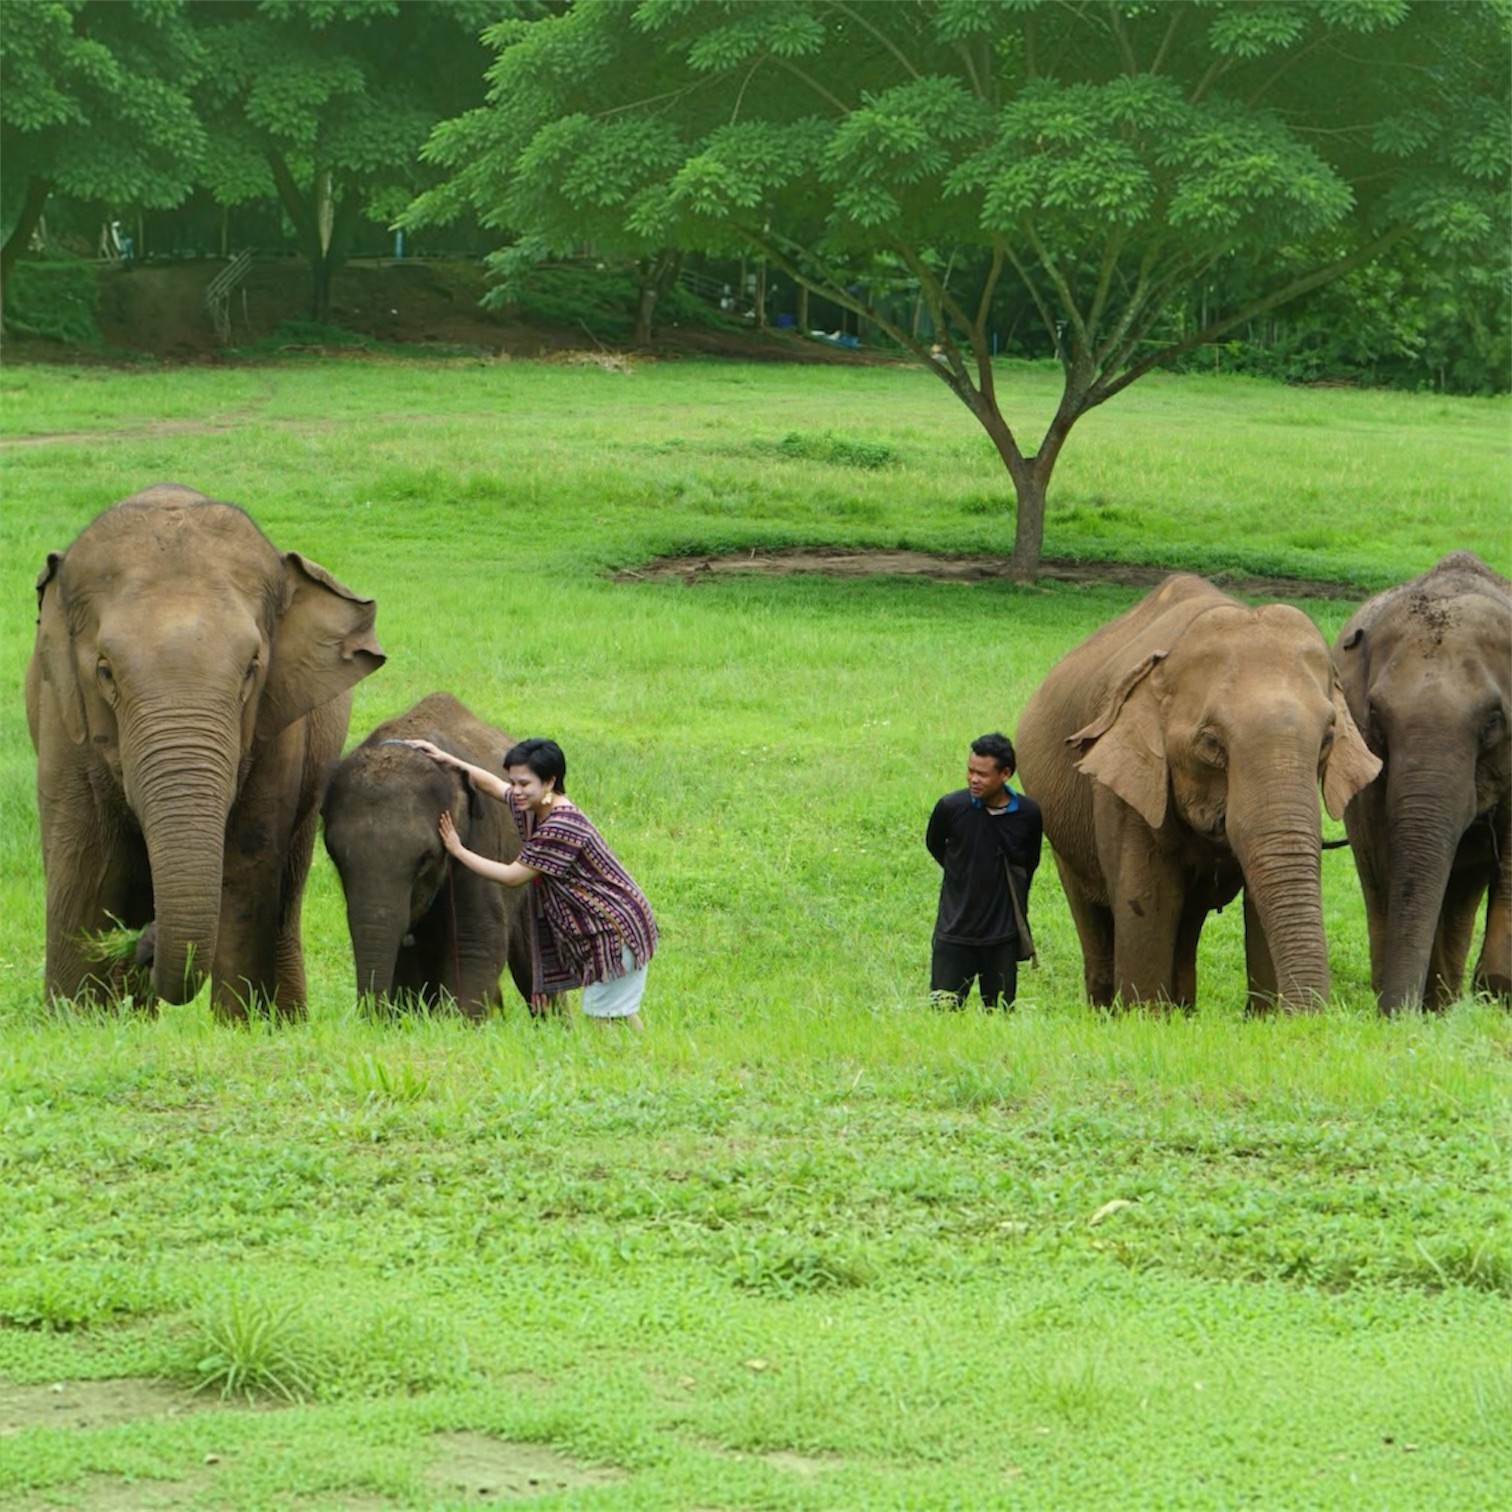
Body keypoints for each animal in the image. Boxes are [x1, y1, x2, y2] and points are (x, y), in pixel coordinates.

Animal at [25, 484, 385, 1020]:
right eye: (106, 671)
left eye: (252, 668)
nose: (146, 942)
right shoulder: (64, 722)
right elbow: (85, 871)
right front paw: (76, 1021)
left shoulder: (276, 728)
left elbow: (246, 872)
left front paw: (243, 1026)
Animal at [321, 692, 534, 1018]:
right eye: (334, 855)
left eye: (425, 859)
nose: (370, 1020)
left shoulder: (478, 838)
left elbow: (476, 937)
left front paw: (455, 1022)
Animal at [1016, 574, 1380, 1011]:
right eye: (1210, 743)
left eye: (1328, 738)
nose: (1310, 1016)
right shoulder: (1127, 787)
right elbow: (1148, 902)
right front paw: (1143, 1017)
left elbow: (1261, 906)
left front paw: (1267, 1017)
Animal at [1333, 552, 1511, 1011]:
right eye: (1376, 716)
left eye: (1494, 720)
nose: (1397, 1014)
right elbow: (1385, 853)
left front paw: (1495, 993)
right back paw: (1441, 1002)